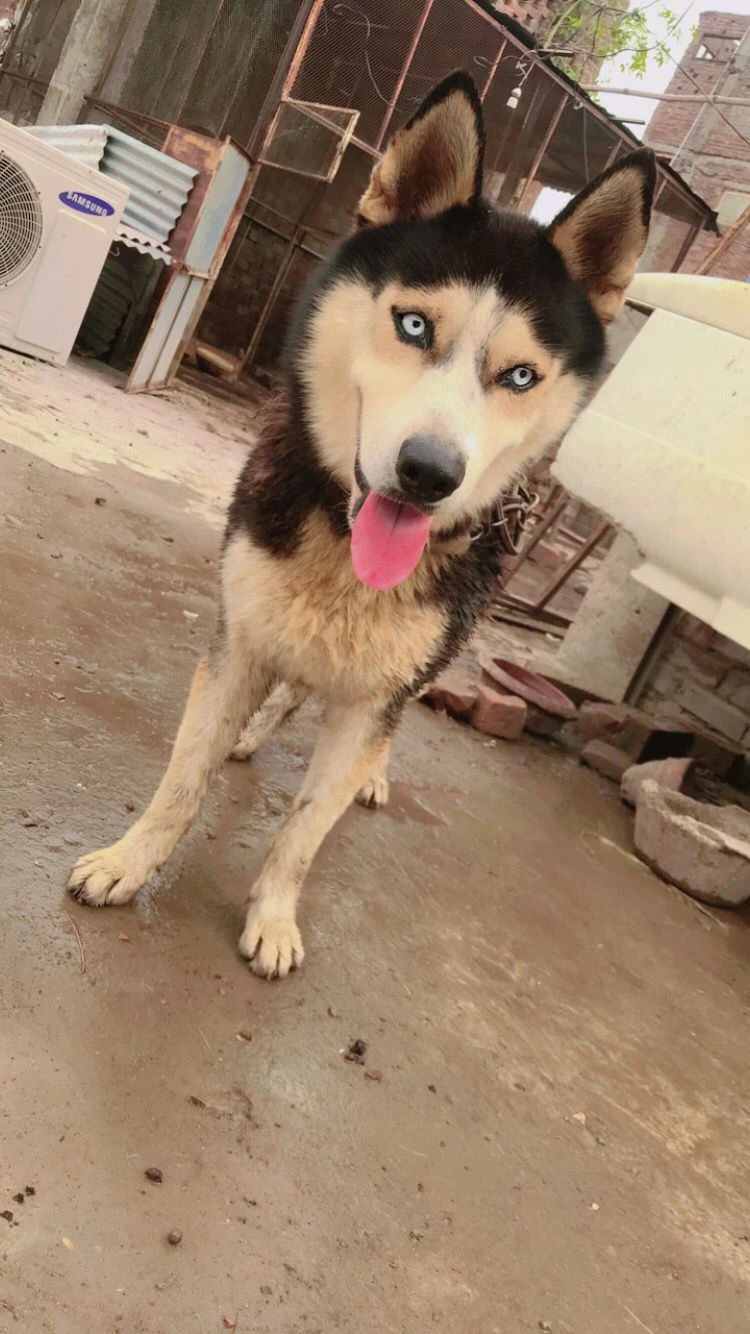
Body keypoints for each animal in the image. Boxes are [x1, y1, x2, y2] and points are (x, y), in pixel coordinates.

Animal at [71, 75, 653, 981]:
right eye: (414, 325)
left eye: (521, 376)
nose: (430, 474)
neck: (346, 553)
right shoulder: (241, 639)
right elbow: (184, 778)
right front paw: (130, 860)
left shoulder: (381, 689)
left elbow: (307, 825)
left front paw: (273, 916)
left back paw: (370, 772)